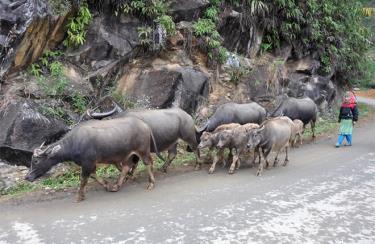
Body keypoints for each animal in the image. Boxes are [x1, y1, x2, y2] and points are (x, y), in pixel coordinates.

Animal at [25, 117, 163, 201]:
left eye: (36, 161)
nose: (27, 177)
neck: (74, 142)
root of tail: (145, 125)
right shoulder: (89, 164)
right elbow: (93, 175)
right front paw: (107, 185)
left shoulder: (87, 163)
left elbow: (83, 179)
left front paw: (79, 196)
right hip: (129, 154)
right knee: (126, 167)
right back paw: (117, 185)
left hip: (142, 151)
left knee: (148, 163)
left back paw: (151, 183)